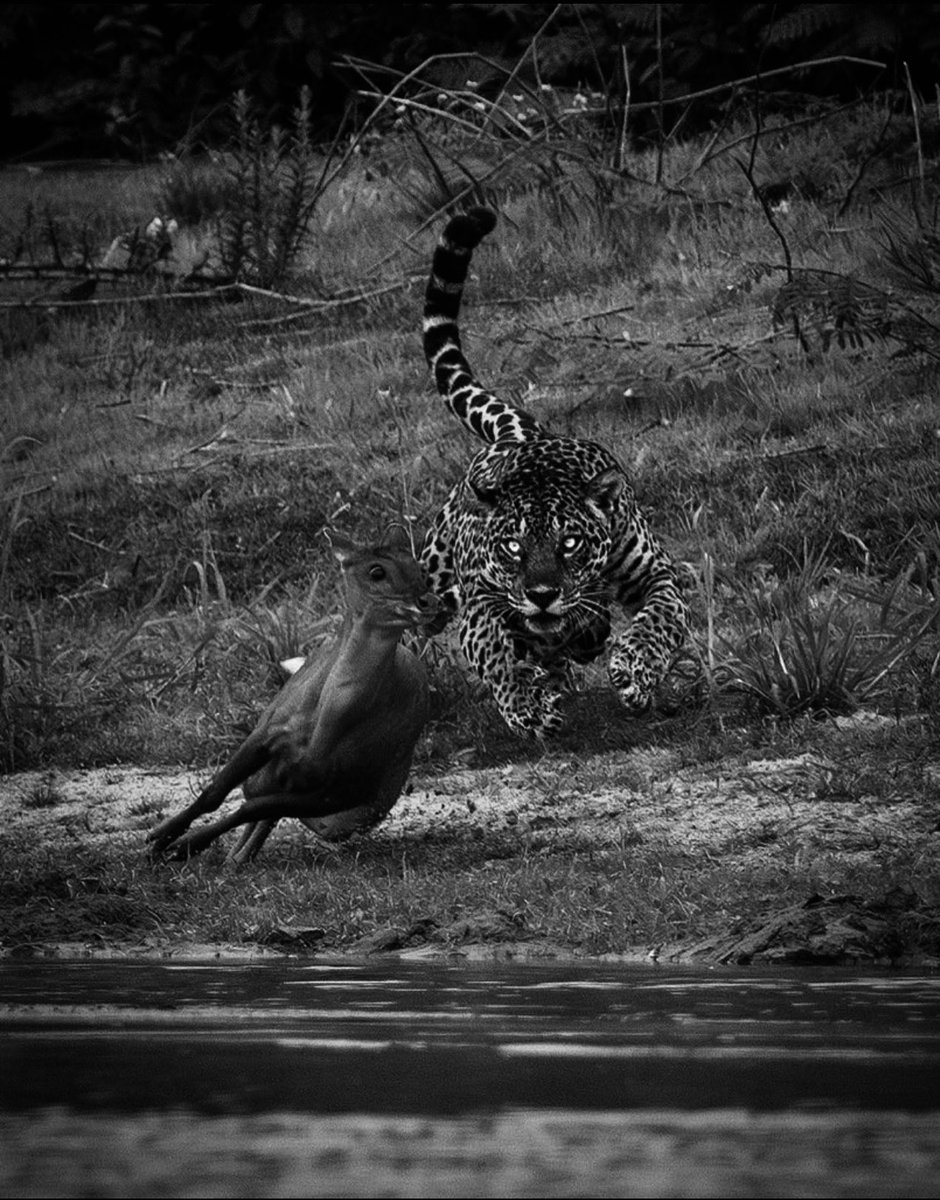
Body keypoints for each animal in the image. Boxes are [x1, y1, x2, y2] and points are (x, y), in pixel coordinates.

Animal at [147, 533, 440, 863]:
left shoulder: (345, 789)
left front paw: (184, 845)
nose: (430, 600)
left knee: (261, 813)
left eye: (418, 567)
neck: (327, 726)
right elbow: (214, 793)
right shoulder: (268, 732)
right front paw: (160, 838)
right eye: (376, 571)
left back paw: (236, 857)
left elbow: (250, 809)